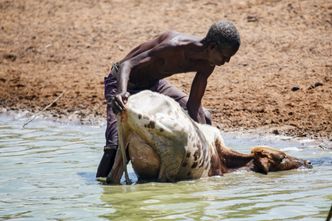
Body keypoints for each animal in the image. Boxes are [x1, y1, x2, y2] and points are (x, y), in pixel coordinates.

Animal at [104, 90, 314, 184]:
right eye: (281, 157)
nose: (309, 162)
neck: (222, 157)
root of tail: (127, 107)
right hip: (173, 156)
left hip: (122, 154)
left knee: (112, 177)